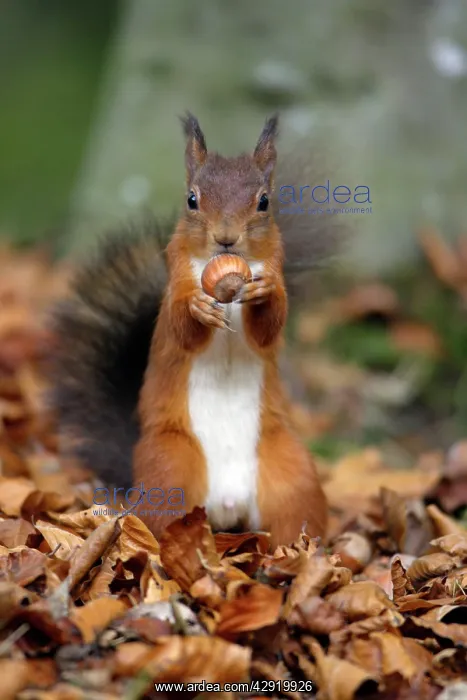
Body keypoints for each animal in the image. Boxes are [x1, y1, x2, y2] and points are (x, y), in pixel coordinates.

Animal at [51, 113, 346, 548]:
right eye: (192, 199)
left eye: (264, 201)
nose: (226, 238)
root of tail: (227, 505)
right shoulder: (175, 284)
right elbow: (180, 328)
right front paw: (198, 309)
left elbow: (268, 328)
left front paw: (264, 293)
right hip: (171, 467)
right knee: (161, 521)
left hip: (291, 473)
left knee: (292, 516)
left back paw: (301, 551)